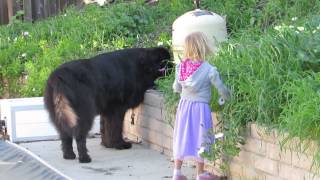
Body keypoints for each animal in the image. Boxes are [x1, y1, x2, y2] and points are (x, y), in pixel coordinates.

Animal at [44, 47, 172, 163]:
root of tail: (59, 77)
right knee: (79, 136)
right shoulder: (117, 109)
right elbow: (116, 127)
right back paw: (84, 158)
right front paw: (120, 144)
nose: (173, 69)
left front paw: (107, 144)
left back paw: (69, 155)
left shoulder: (107, 110)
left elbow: (106, 127)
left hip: (59, 114)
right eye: (165, 64)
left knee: (65, 135)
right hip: (83, 113)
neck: (141, 66)